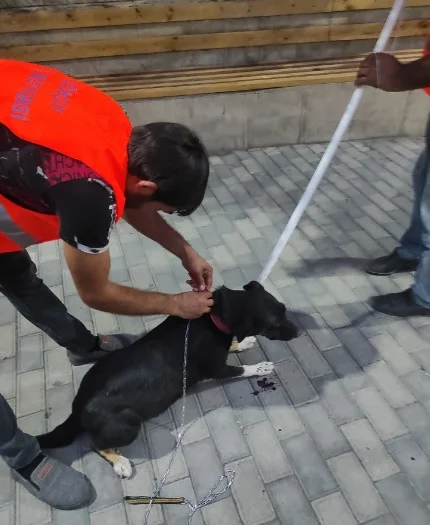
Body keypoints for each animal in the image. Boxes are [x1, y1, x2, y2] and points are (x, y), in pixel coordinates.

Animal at [36, 280, 298, 476]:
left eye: (285, 309)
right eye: (275, 323)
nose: (298, 331)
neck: (216, 315)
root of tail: (78, 405)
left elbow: (233, 344)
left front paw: (242, 343)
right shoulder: (216, 370)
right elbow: (243, 369)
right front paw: (261, 367)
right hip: (128, 424)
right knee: (95, 444)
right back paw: (120, 462)